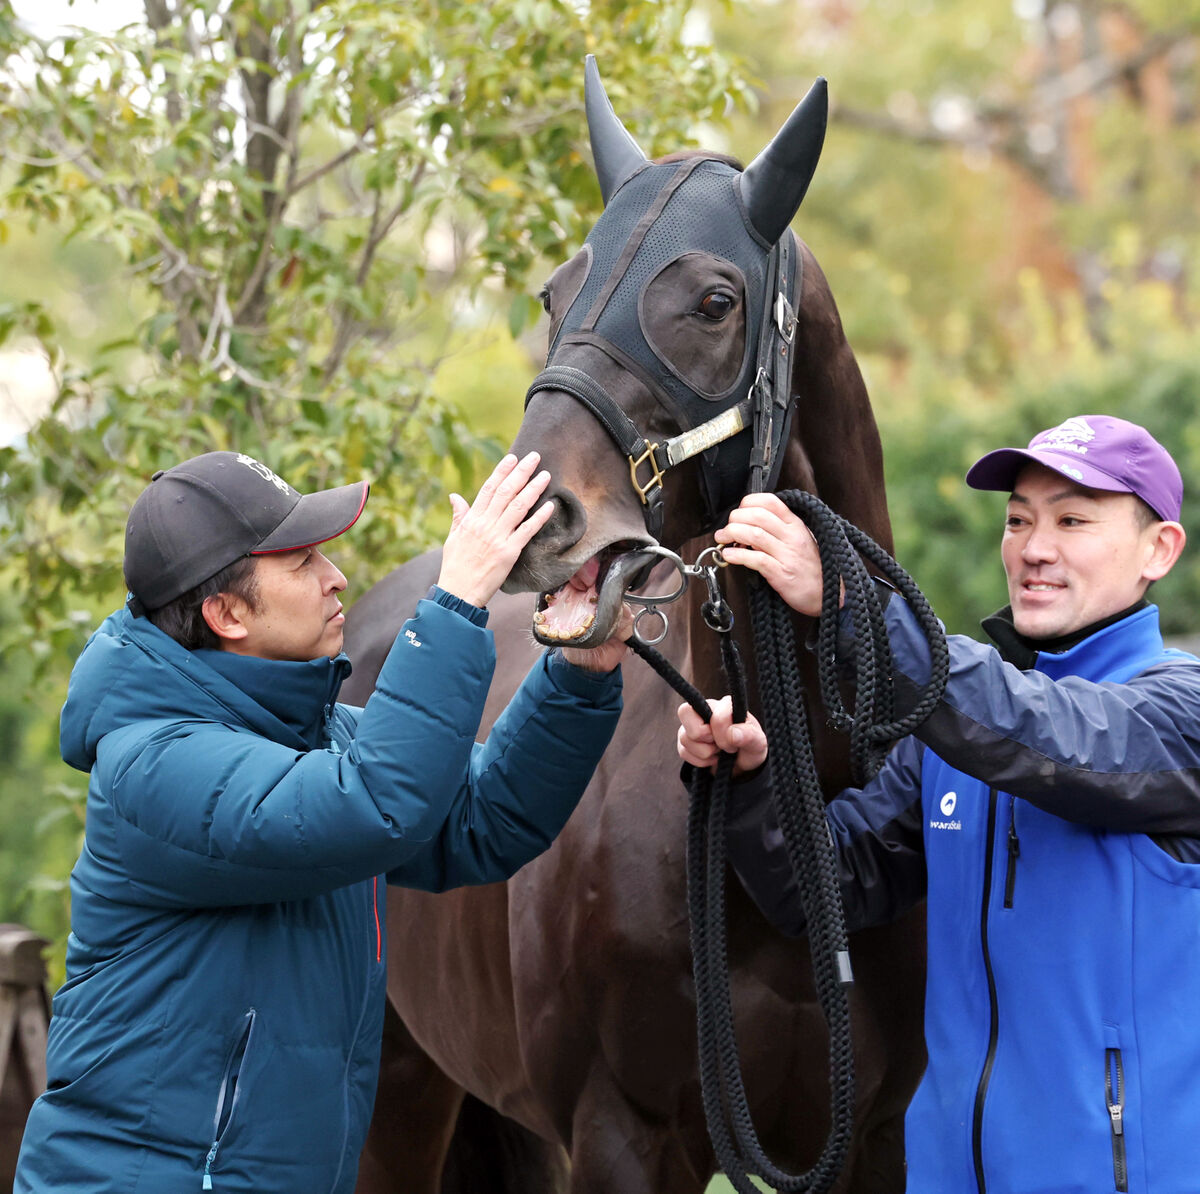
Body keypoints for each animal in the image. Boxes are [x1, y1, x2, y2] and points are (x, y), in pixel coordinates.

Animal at [343, 60, 921, 1194]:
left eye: (713, 300)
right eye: (554, 292)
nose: (532, 520)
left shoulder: (873, 1137)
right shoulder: (621, 1135)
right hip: (394, 1096)